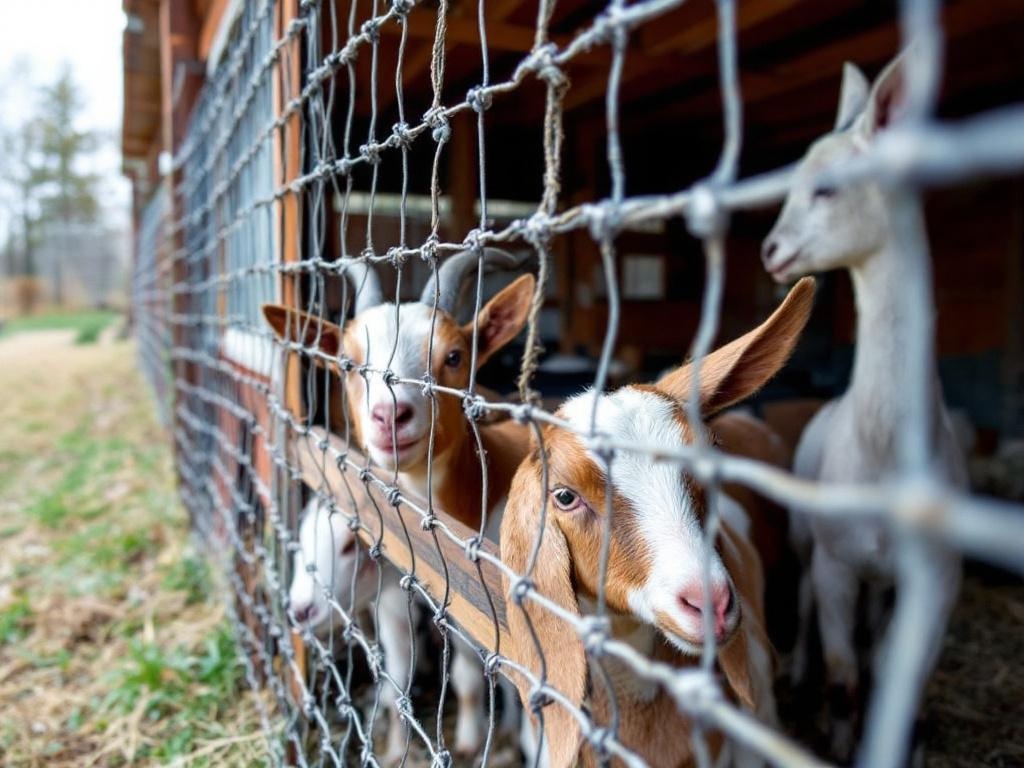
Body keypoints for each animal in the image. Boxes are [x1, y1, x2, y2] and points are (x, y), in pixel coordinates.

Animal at [265, 250, 535, 760]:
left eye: (453, 356)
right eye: (349, 363)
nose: (390, 416)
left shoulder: (476, 605)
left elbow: (469, 675)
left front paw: (469, 742)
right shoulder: (392, 593)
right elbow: (395, 681)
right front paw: (393, 750)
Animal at [761, 50, 967, 759]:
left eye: (827, 189)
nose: (770, 250)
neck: (885, 455)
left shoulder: (936, 580)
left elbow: (895, 679)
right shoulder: (834, 562)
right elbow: (845, 677)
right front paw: (836, 741)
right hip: (804, 534)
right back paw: (797, 675)